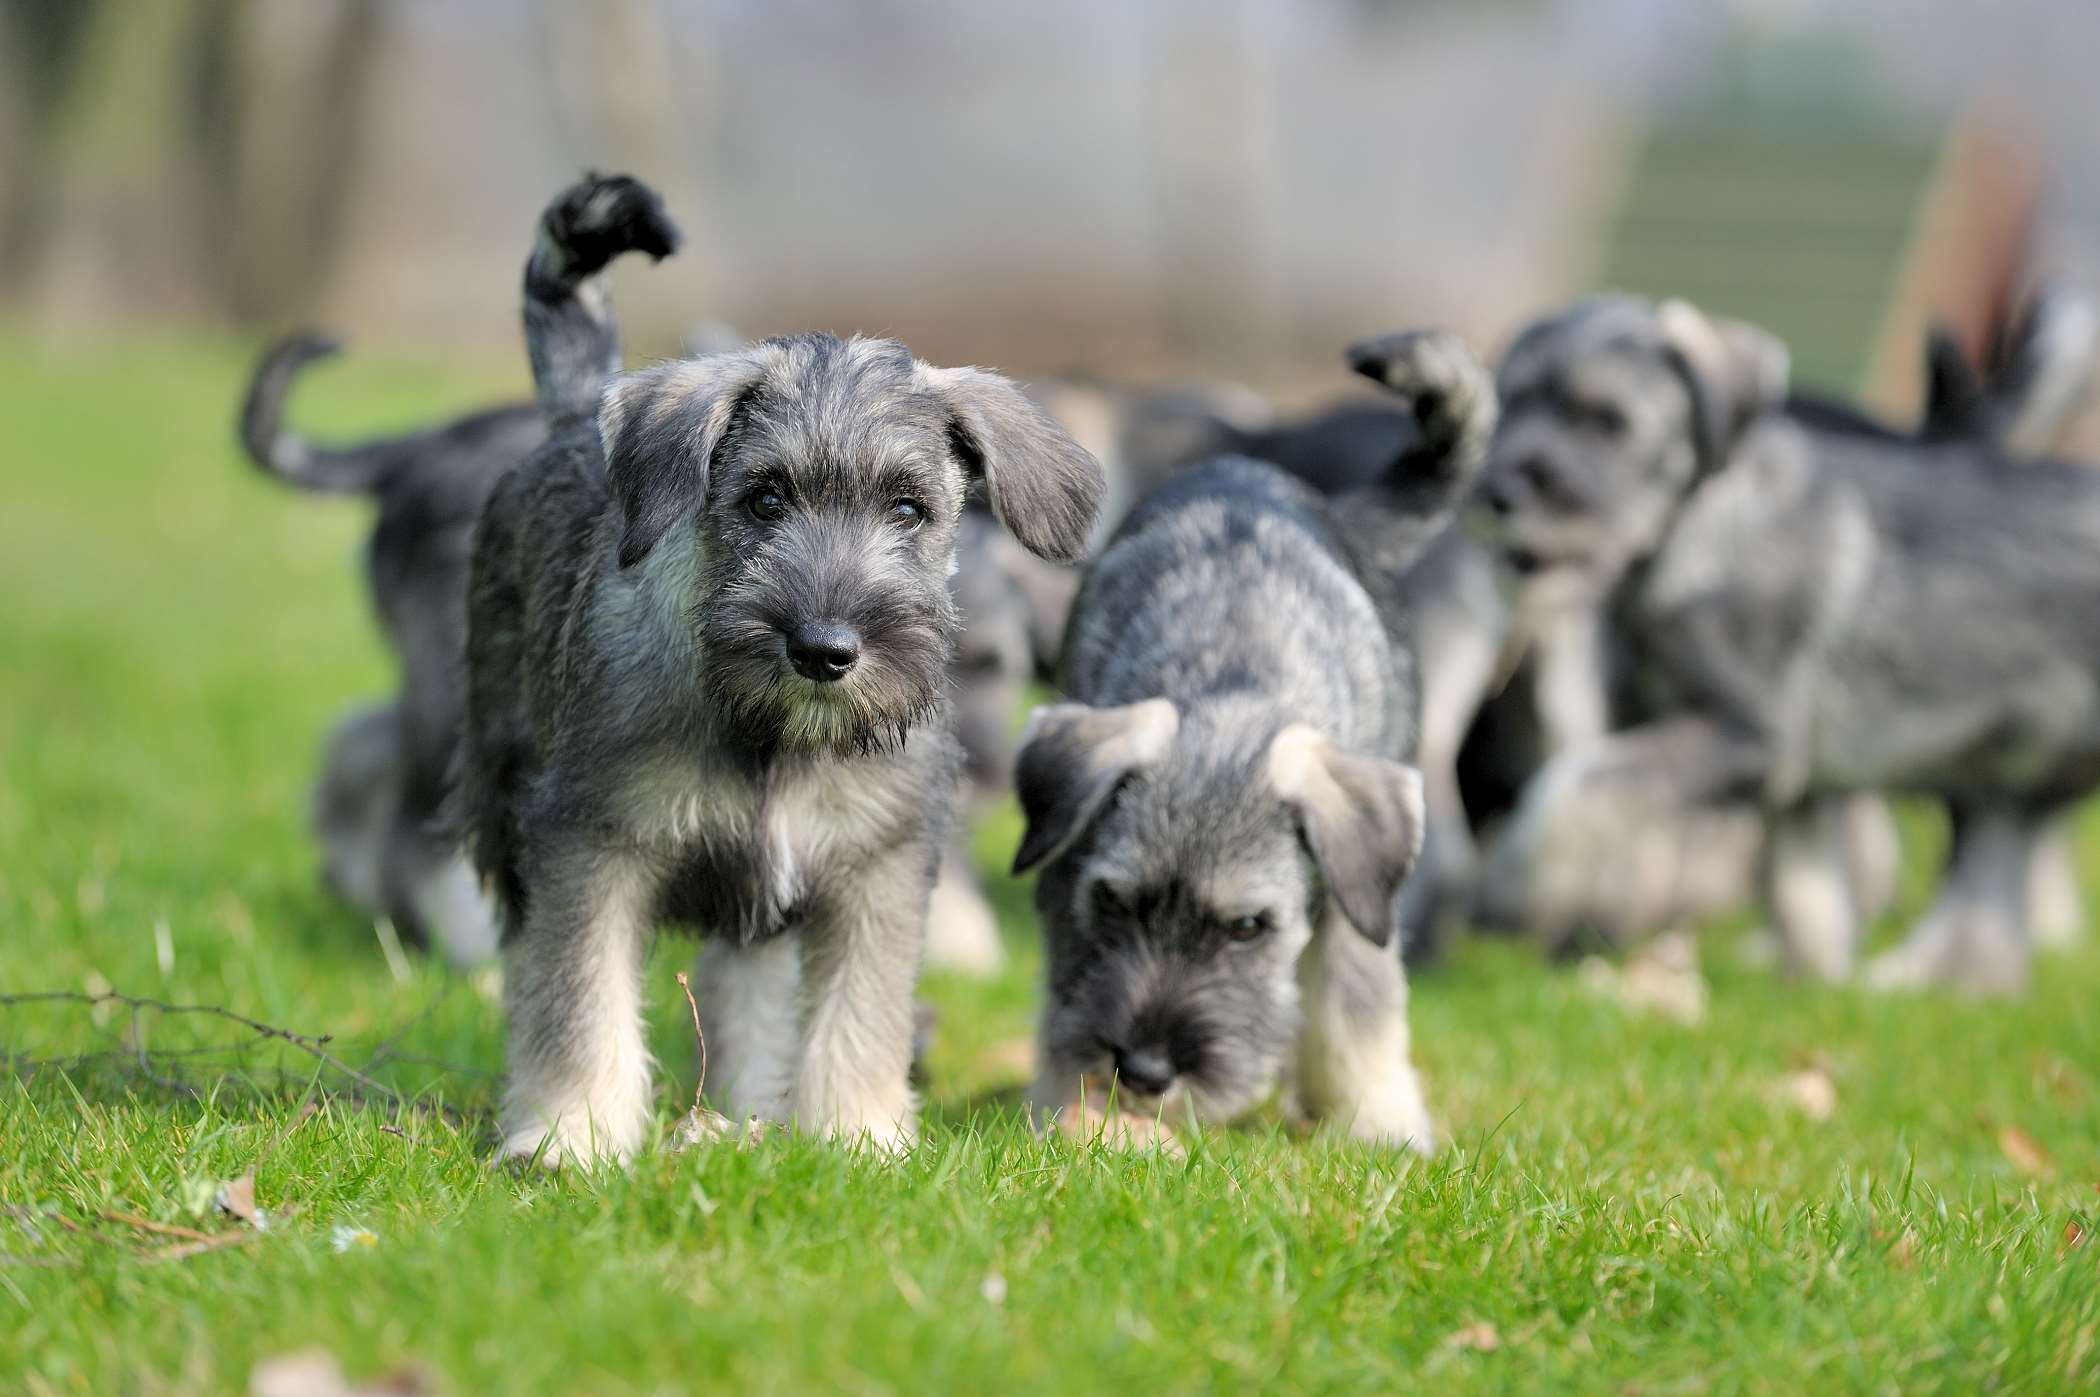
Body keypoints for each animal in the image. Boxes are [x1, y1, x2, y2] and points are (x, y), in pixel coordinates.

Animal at [461, 174, 1108, 1159]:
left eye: (910, 509)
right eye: (764, 498)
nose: (824, 650)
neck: (772, 736)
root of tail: (576, 417)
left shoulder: (877, 864)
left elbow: (859, 1013)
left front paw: (859, 1135)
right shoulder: (590, 846)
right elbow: (579, 995)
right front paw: (570, 1136)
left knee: (751, 990)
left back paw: (746, 1111)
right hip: (502, 806)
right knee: (527, 958)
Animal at [1003, 329, 1486, 1151]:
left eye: (1248, 928)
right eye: (1115, 901)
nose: (1145, 1071)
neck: (1233, 675)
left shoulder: (1356, 902)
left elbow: (1357, 1009)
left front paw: (1378, 1126)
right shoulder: (1064, 880)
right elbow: (1067, 996)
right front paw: (1067, 1107)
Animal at [1478, 292, 2100, 991]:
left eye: (1607, 421)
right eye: (1510, 407)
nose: (1498, 492)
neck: (1700, 530)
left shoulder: (1750, 733)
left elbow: (1579, 785)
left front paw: (1513, 887)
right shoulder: (1792, 778)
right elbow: (1805, 891)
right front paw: (1813, 984)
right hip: (2009, 772)